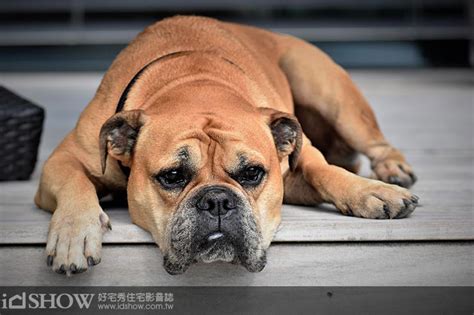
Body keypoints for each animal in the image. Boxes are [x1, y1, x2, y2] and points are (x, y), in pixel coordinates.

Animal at [35, 16, 416, 276]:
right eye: (172, 176)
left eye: (252, 173)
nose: (217, 200)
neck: (195, 82)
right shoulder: (63, 159)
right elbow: (75, 182)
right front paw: (73, 233)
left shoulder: (299, 158)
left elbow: (324, 170)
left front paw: (370, 191)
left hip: (328, 90)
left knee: (374, 142)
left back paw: (391, 170)